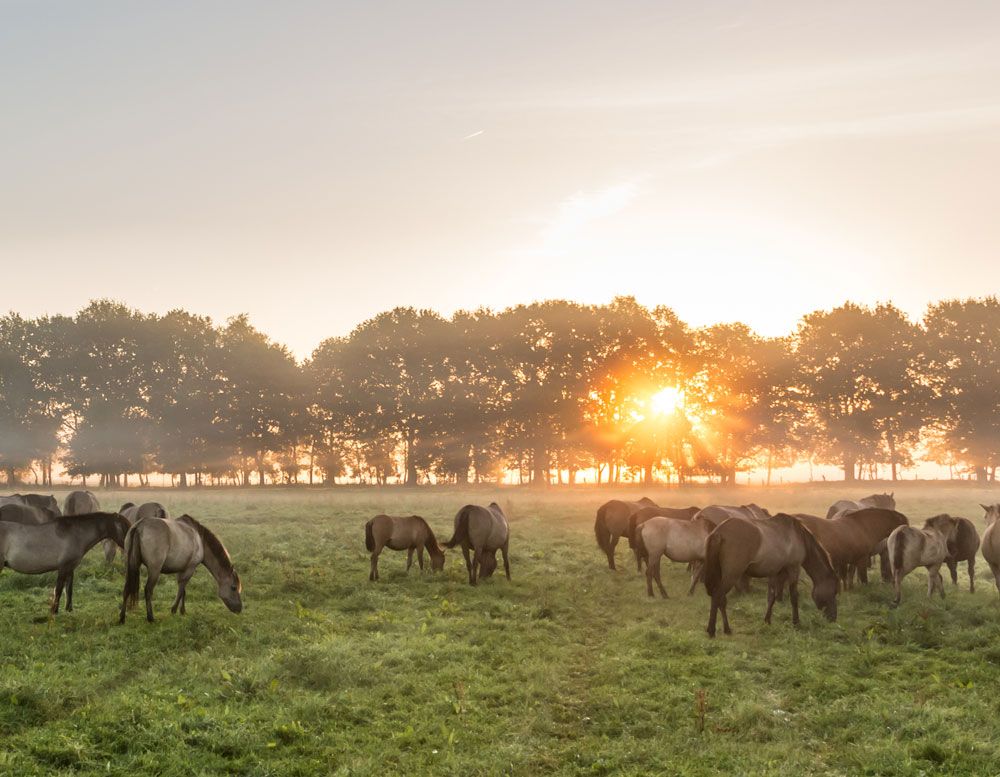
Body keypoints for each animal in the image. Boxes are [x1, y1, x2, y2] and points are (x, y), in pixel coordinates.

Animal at [0, 512, 131, 616]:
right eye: (125, 528)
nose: (130, 548)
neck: (75, 534)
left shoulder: (70, 568)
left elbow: (69, 589)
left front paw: (69, 609)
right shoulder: (63, 567)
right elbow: (58, 589)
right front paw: (54, 611)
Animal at [700, 516, 840, 636]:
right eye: (834, 591)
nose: (833, 618)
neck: (798, 536)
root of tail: (718, 532)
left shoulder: (775, 572)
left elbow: (772, 596)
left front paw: (767, 620)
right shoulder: (793, 569)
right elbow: (794, 597)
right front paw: (796, 623)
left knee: (720, 599)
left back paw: (726, 629)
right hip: (732, 575)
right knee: (718, 596)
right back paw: (713, 630)